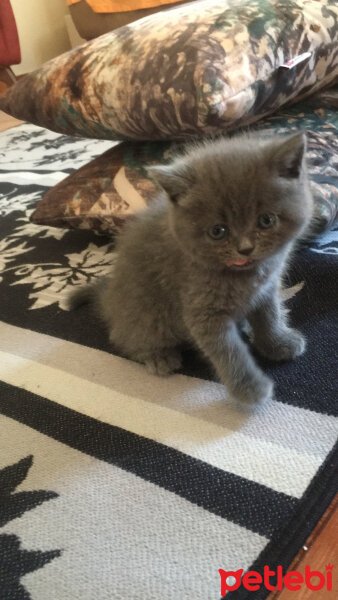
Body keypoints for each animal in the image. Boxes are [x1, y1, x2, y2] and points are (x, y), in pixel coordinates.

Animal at [69, 131, 314, 404]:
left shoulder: (267, 289)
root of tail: (108, 301)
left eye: (266, 220)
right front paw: (250, 388)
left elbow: (270, 316)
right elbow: (229, 351)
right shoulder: (202, 309)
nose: (245, 248)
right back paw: (158, 357)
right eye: (218, 231)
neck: (246, 274)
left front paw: (278, 343)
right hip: (147, 316)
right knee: (125, 339)